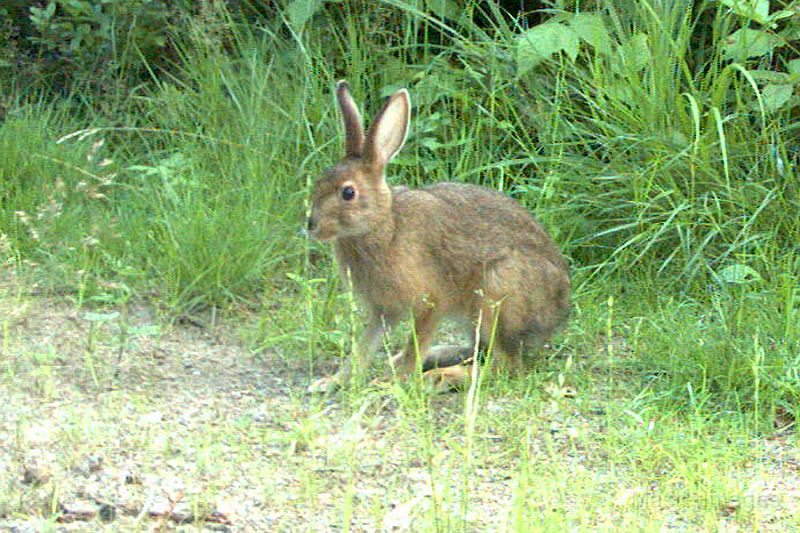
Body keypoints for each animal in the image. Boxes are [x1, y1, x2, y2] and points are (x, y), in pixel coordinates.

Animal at [304, 81, 568, 392]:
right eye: (319, 182)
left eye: (348, 193)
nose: (311, 225)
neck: (382, 225)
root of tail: (557, 314)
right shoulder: (383, 310)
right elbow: (364, 346)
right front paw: (332, 381)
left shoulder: (431, 303)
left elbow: (414, 343)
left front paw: (397, 383)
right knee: (483, 351)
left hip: (496, 295)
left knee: (505, 365)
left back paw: (440, 376)